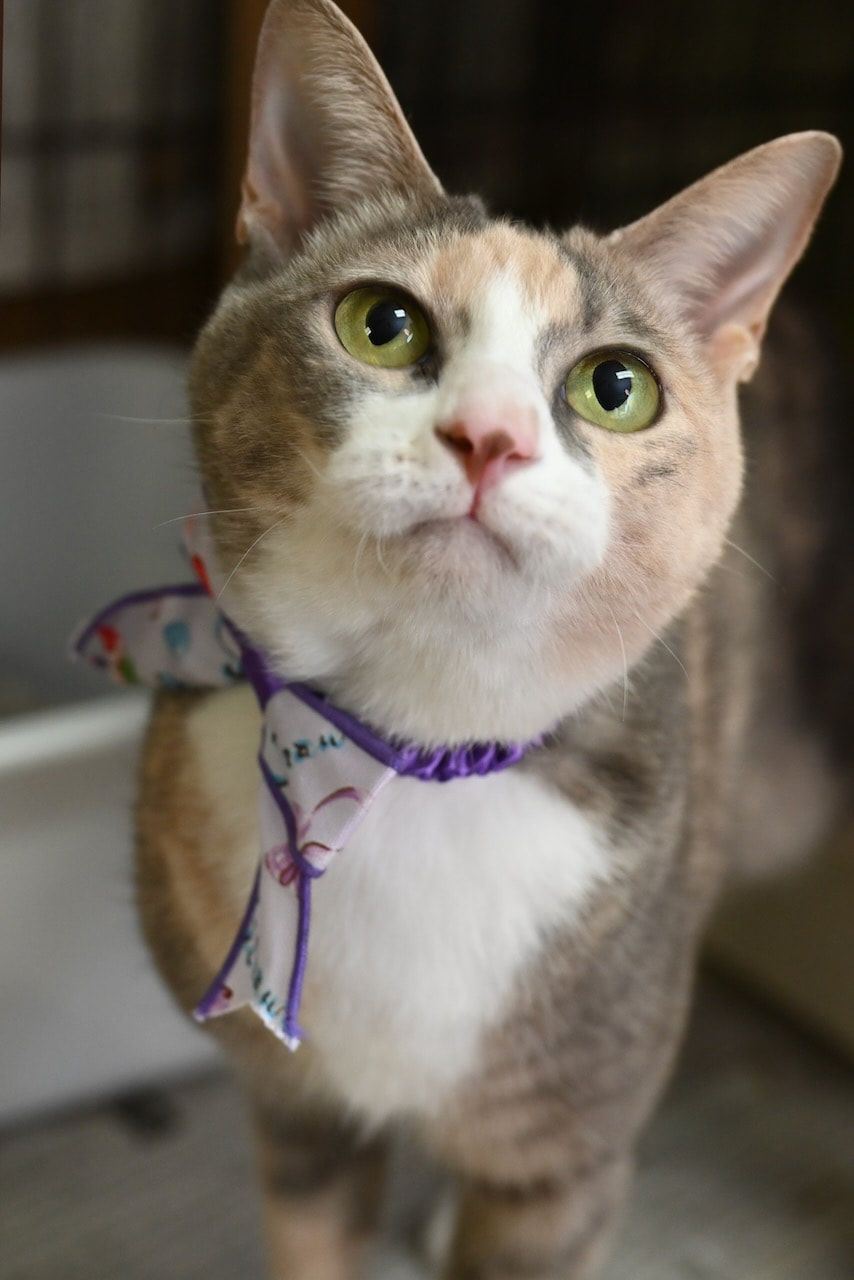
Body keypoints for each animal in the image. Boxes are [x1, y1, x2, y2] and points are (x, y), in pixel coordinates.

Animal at [135, 2, 850, 1280]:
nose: (488, 436)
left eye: (616, 386)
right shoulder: (297, 1113)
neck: (406, 756)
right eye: (380, 324)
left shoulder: (562, 1159)